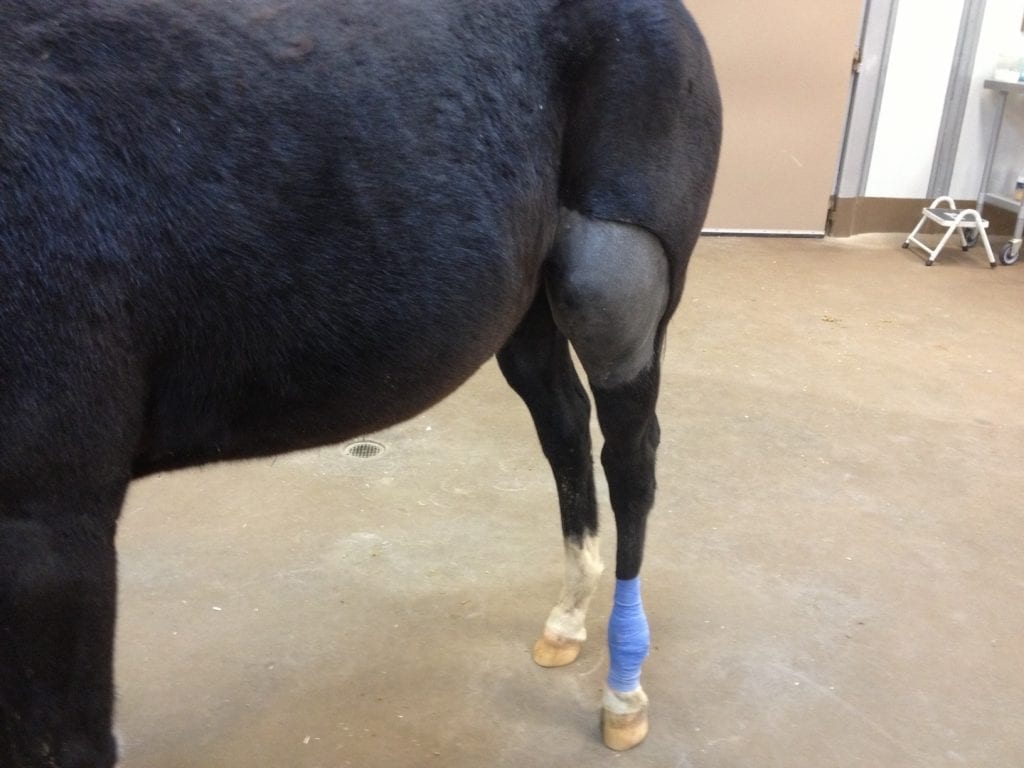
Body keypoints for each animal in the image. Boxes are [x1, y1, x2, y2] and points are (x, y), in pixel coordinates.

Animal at [0, 1, 720, 765]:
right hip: (527, 311)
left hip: (613, 286)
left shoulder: (49, 526)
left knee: (631, 462)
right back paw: (567, 620)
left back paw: (623, 690)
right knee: (566, 428)